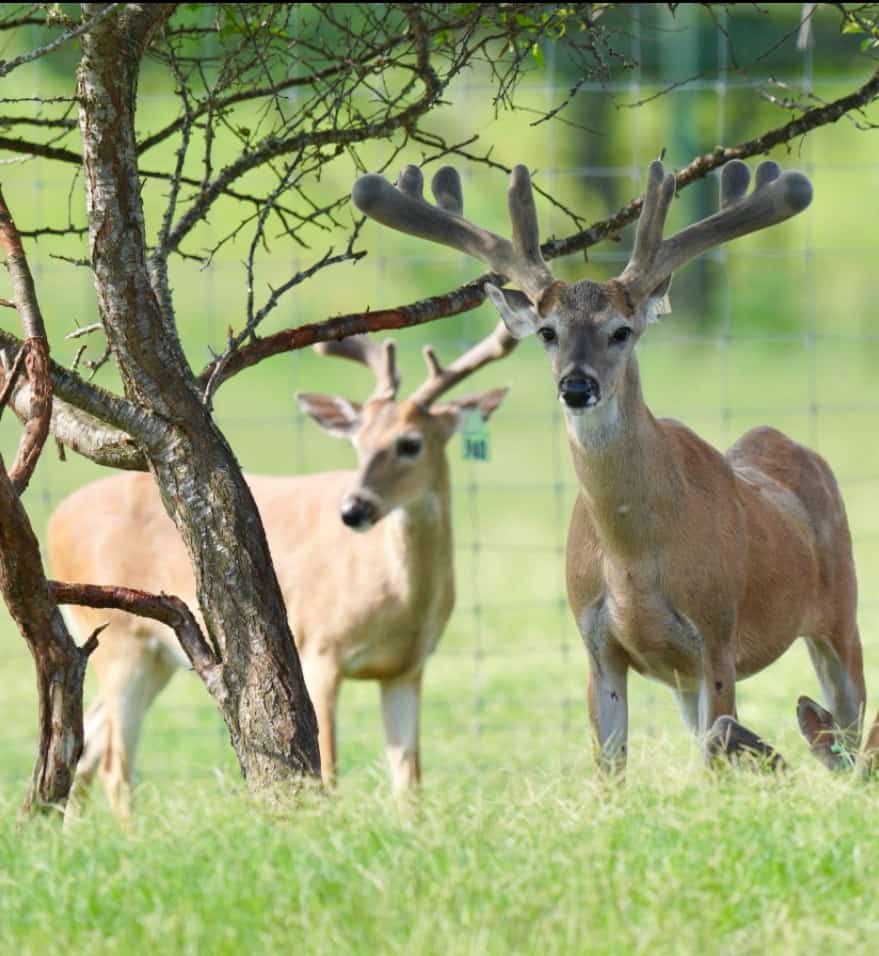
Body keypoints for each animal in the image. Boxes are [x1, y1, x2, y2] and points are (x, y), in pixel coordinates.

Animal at [49, 324, 513, 817]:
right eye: (358, 443)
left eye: (410, 444)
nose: (353, 509)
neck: (399, 599)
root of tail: (55, 519)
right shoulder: (320, 649)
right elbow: (329, 771)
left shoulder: (407, 667)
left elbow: (409, 781)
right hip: (122, 641)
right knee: (114, 768)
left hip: (154, 655)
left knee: (88, 750)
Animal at [351, 158, 865, 772]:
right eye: (547, 332)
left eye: (621, 331)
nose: (577, 386)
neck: (632, 562)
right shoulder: (598, 644)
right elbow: (611, 766)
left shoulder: (717, 634)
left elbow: (718, 747)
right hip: (685, 677)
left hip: (840, 611)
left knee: (853, 722)